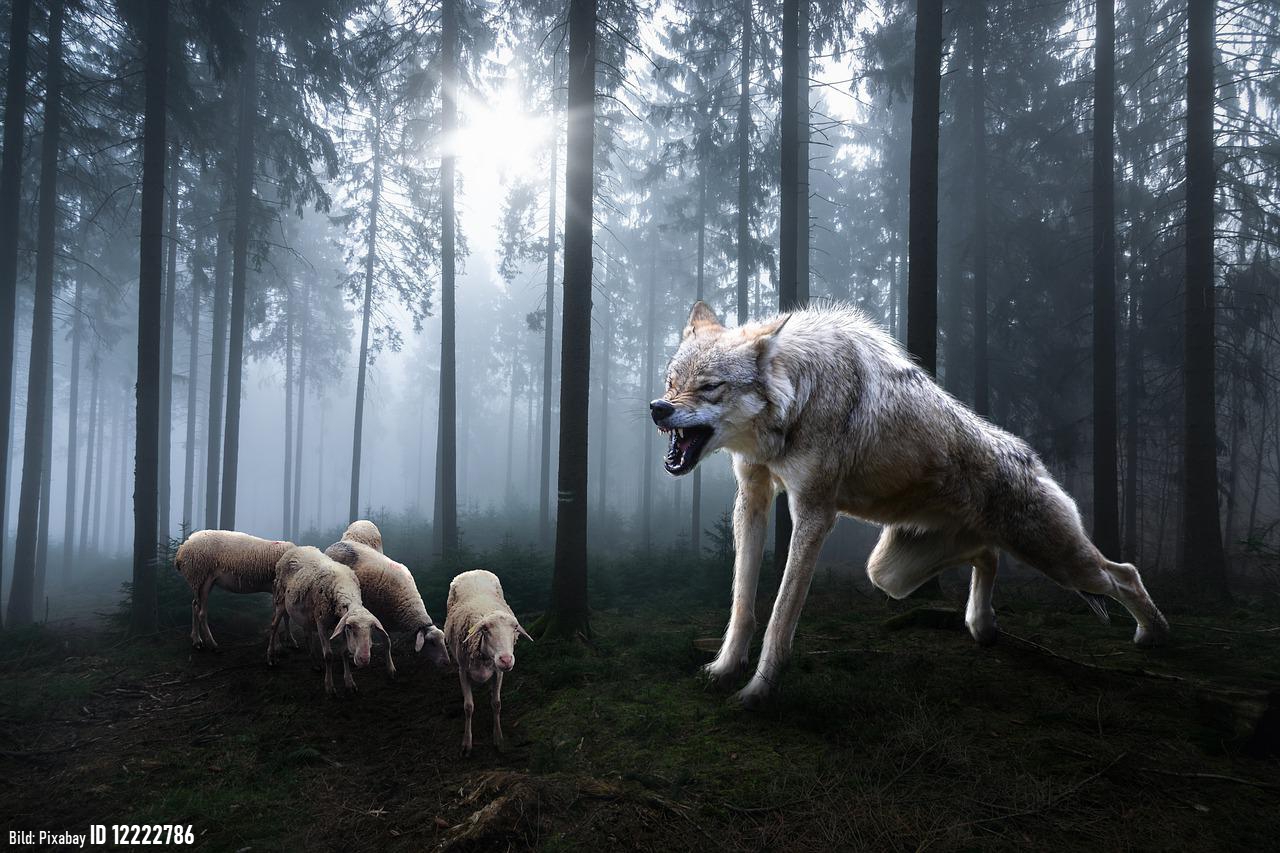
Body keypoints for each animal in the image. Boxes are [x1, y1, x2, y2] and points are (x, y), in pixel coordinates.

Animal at [268, 546, 389, 695]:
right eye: (350, 627)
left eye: (371, 628)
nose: (364, 659)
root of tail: (297, 548)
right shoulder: (322, 625)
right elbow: (328, 655)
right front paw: (329, 686)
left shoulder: (339, 625)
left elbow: (344, 652)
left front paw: (349, 683)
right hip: (280, 599)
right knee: (274, 626)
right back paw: (271, 657)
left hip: (306, 613)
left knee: (307, 634)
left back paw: (314, 663)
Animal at [323, 539, 450, 675]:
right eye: (432, 643)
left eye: (443, 640)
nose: (446, 662)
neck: (407, 600)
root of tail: (334, 545)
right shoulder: (382, 618)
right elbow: (387, 643)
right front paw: (391, 668)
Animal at [443, 569, 532, 755]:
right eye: (485, 629)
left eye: (515, 628)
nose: (506, 659)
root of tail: (472, 570)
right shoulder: (463, 671)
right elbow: (468, 706)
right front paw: (466, 743)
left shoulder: (498, 672)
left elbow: (496, 704)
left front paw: (498, 739)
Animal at [651, 302, 1170, 708]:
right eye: (672, 381)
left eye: (709, 387)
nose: (658, 408)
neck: (799, 399)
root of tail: (1032, 459)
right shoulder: (753, 499)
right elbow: (742, 604)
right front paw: (723, 670)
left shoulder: (814, 515)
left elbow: (780, 615)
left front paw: (757, 692)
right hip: (889, 572)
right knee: (987, 554)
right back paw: (982, 625)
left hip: (1060, 562)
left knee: (1123, 573)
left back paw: (1154, 635)